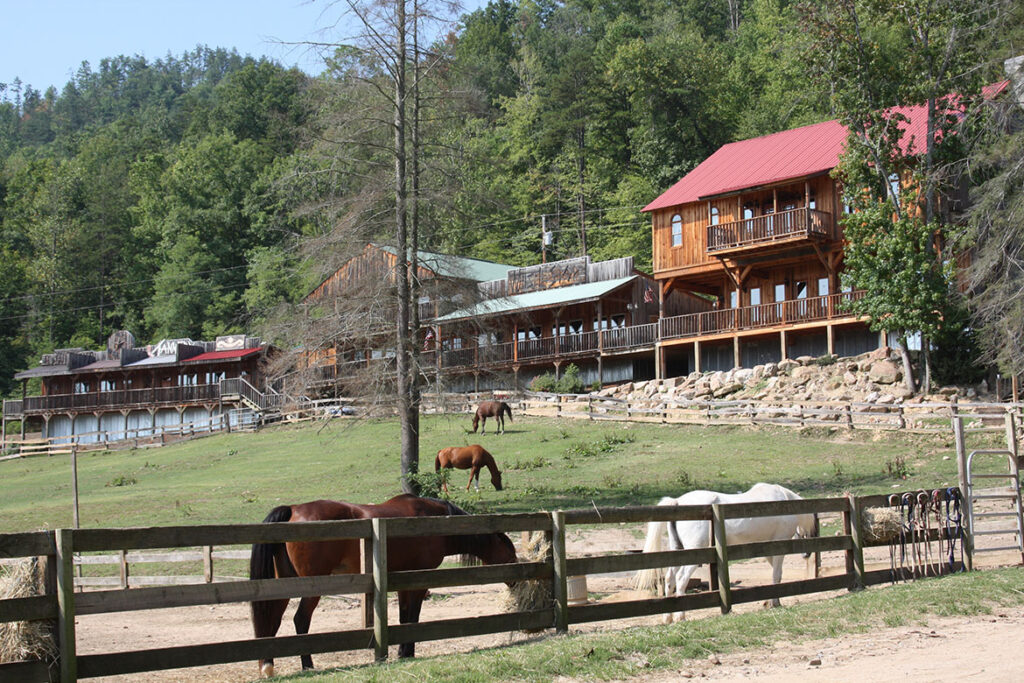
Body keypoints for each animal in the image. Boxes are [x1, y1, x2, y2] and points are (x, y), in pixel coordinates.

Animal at [248, 493, 520, 675]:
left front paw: (402, 652)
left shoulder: (402, 581)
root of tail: (293, 510)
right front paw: (408, 652)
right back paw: (307, 665)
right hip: (313, 586)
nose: (517, 579)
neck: (430, 520)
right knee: (300, 620)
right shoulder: (418, 581)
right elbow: (412, 618)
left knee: (271, 620)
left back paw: (268, 665)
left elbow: (403, 617)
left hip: (282, 584)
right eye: (509, 551)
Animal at [630, 481, 815, 626]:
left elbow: (776, 575)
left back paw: (667, 617)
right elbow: (777, 575)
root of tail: (678, 502)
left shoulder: (768, 549)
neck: (782, 501)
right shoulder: (777, 547)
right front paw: (775, 602)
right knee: (681, 579)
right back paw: (680, 616)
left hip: (679, 551)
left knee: (669, 579)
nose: (807, 554)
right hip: (693, 555)